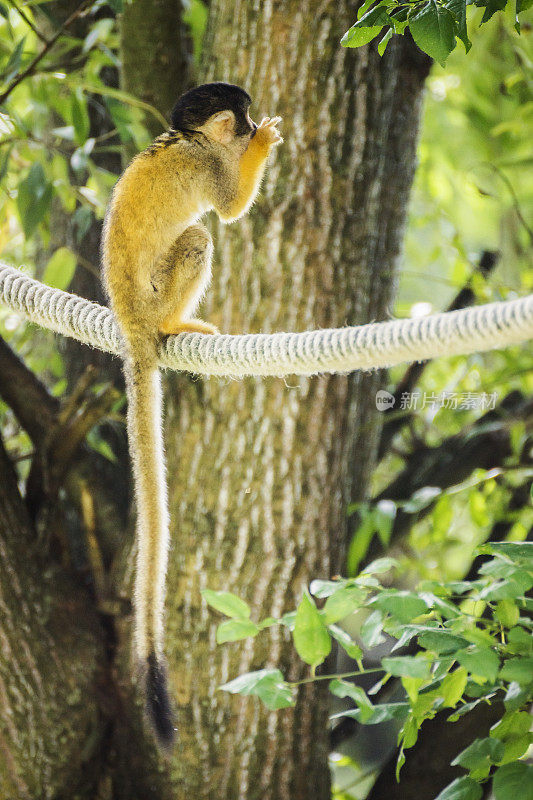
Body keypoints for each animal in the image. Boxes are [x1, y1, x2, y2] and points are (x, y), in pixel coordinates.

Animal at [101, 84, 282, 748]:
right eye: (243, 120)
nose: (250, 128)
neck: (191, 138)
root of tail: (129, 317)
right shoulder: (208, 165)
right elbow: (228, 211)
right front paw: (262, 145)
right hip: (155, 293)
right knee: (202, 236)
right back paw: (177, 323)